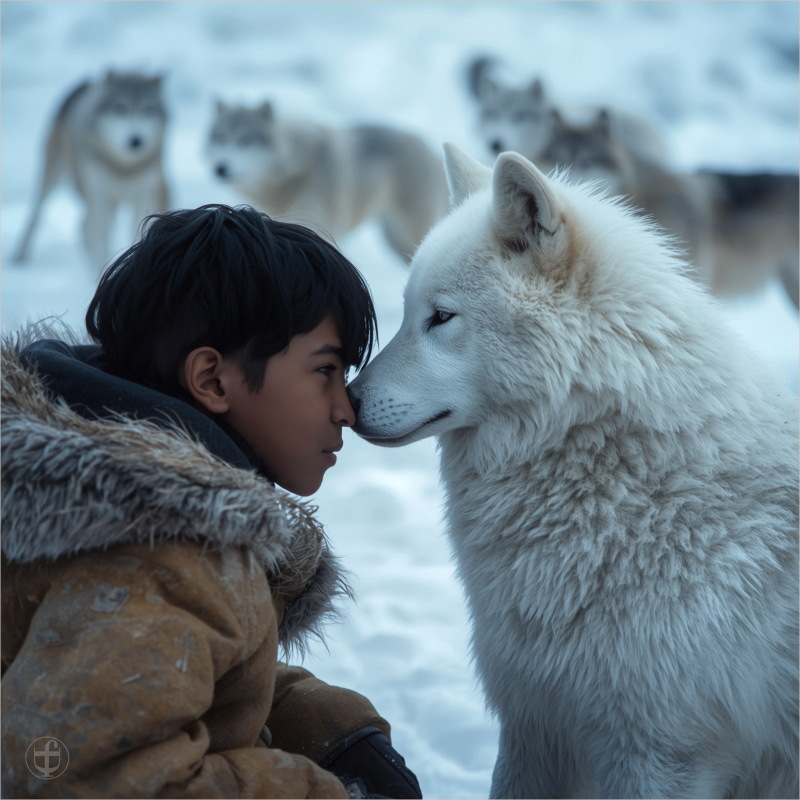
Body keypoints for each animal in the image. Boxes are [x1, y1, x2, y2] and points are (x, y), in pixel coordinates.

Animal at [13, 71, 170, 274]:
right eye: (120, 109)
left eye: (148, 110)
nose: (136, 141)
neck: (123, 167)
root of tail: (85, 84)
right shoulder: (98, 199)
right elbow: (100, 244)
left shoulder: (144, 196)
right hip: (53, 176)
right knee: (37, 213)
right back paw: (19, 254)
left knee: (82, 226)